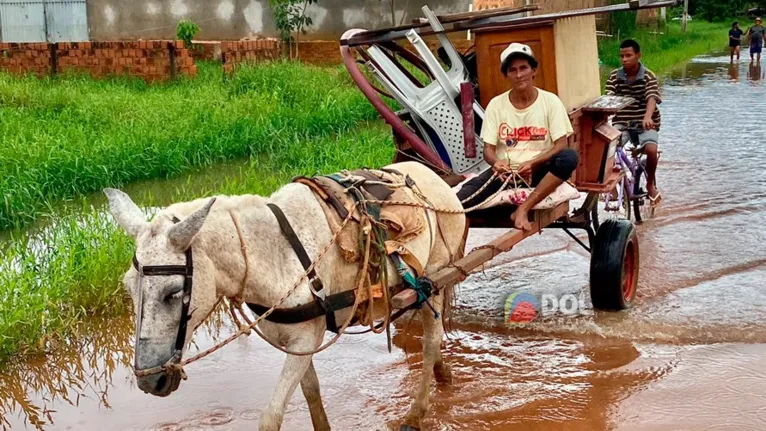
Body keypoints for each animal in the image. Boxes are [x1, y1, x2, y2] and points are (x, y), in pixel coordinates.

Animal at [105, 160, 468, 430]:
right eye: (128, 288)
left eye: (173, 293)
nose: (148, 382)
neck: (276, 253)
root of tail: (438, 179)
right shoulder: (293, 340)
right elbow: (310, 391)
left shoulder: (306, 337)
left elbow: (272, 416)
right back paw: (443, 374)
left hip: (436, 278)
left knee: (431, 341)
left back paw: (417, 413)